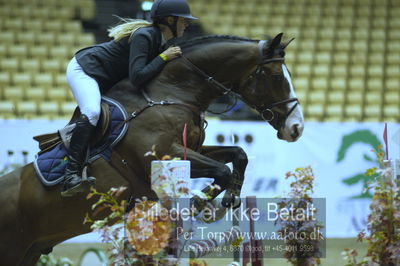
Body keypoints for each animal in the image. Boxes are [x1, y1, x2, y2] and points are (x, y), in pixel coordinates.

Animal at [0, 32, 304, 264]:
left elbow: (237, 155)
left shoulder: (191, 149)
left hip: (29, 251)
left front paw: (222, 201)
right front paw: (204, 204)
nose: (297, 128)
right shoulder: (161, 155)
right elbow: (221, 169)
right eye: (276, 76)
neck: (173, 93)